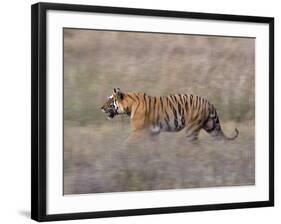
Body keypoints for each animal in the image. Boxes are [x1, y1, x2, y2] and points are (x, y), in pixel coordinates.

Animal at [99, 88, 237, 144]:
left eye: (110, 100)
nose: (101, 108)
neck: (129, 106)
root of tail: (208, 102)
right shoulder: (152, 133)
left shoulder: (138, 131)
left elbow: (127, 142)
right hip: (211, 126)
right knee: (221, 140)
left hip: (192, 129)